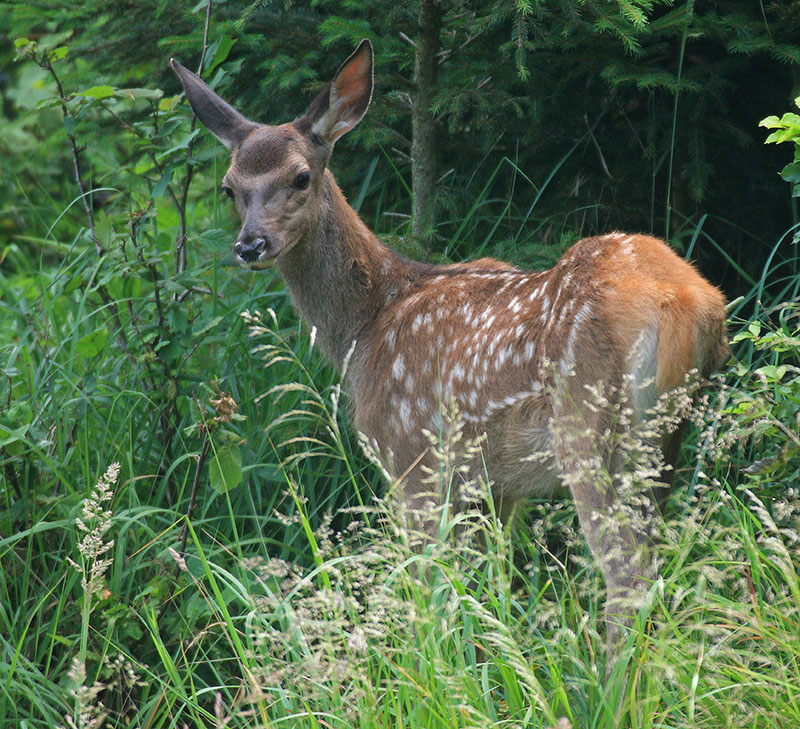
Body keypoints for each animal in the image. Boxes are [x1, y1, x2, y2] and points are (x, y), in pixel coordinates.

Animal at [172, 39, 728, 656]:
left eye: (300, 177)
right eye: (229, 187)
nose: (251, 245)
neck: (368, 325)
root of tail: (688, 303)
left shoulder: (412, 457)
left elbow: (428, 596)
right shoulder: (495, 486)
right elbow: (489, 591)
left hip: (592, 426)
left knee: (626, 577)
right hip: (666, 438)